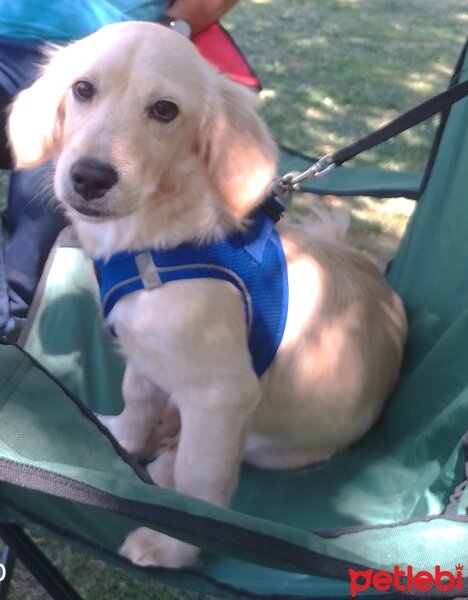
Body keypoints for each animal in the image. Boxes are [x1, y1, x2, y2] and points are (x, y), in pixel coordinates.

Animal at [9, 21, 408, 568]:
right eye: (83, 89)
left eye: (164, 110)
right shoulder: (145, 350)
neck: (156, 244)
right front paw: (119, 439)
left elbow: (200, 487)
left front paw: (172, 545)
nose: (89, 177)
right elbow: (136, 399)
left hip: (270, 441)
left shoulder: (222, 397)